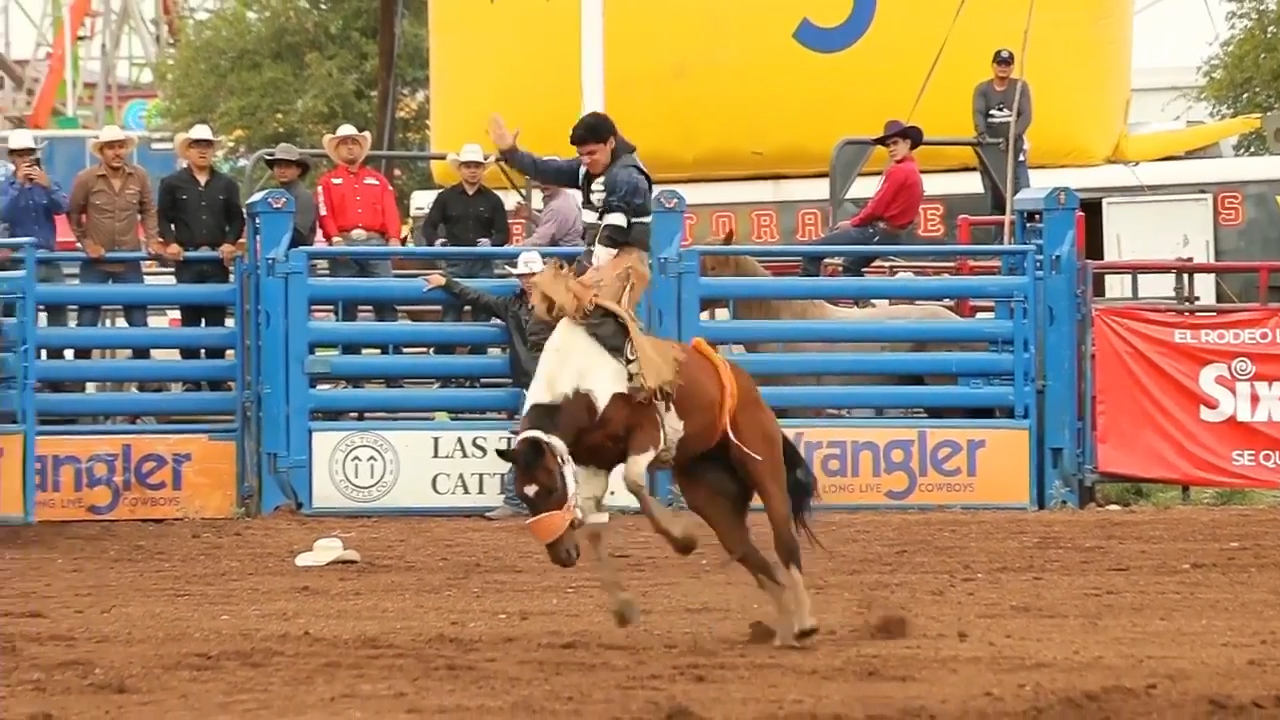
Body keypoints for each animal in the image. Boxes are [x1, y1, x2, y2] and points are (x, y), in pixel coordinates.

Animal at [494, 261, 822, 647]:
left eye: (550, 488)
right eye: (523, 496)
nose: (561, 556)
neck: (579, 382)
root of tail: (746, 384)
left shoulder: (647, 435)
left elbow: (635, 481)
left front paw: (682, 540)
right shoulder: (593, 461)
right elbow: (593, 524)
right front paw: (623, 608)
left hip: (761, 460)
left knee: (783, 540)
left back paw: (805, 622)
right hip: (709, 491)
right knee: (748, 553)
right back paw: (783, 628)